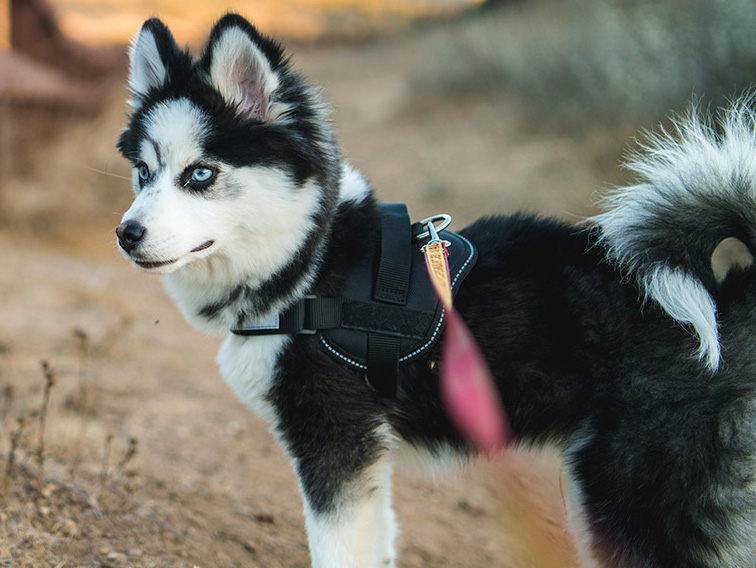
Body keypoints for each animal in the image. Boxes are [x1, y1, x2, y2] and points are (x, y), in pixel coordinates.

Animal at [113, 13, 756, 568]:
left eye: (201, 174)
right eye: (143, 173)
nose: (126, 234)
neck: (311, 261)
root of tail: (724, 297)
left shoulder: (334, 443)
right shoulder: (366, 455)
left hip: (632, 495)